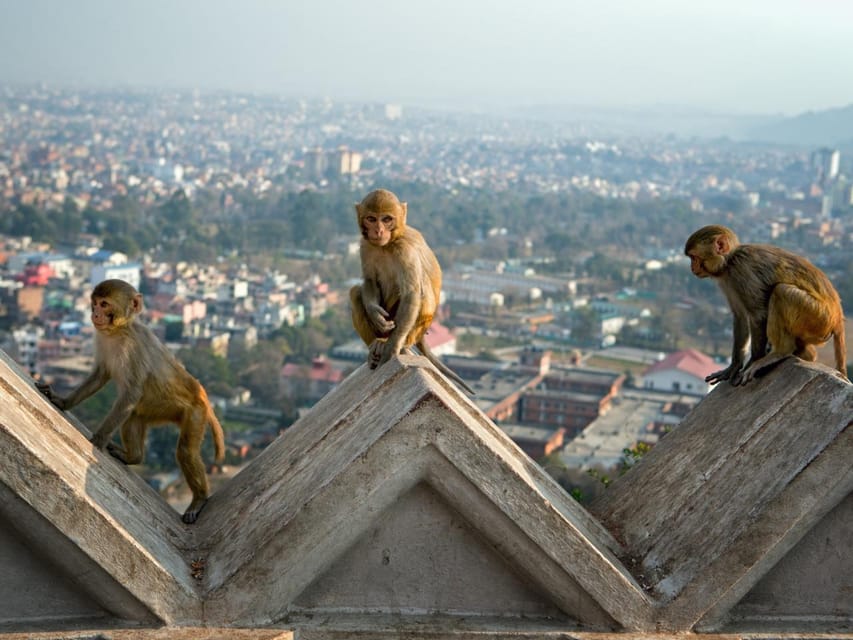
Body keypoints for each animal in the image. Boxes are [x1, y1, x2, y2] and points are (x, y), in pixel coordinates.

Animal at [38, 278, 225, 520]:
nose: (94, 314)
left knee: (185, 449)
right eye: (95, 303)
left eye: (105, 304)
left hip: (195, 412)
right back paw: (133, 457)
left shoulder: (134, 349)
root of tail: (203, 395)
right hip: (159, 410)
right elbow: (100, 376)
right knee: (134, 416)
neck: (119, 331)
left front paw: (98, 440)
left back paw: (199, 499)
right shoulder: (102, 339)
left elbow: (132, 393)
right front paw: (63, 402)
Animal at [350, 188, 476, 396]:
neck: (388, 244)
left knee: (418, 289)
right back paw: (377, 342)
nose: (378, 230)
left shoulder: (405, 250)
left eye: (386, 219)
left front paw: (391, 350)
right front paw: (374, 312)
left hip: (415, 328)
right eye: (371, 218)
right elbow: (369, 281)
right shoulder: (365, 246)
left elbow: (411, 294)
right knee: (354, 292)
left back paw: (395, 345)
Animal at [684, 225, 844, 384]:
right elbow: (740, 316)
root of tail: (837, 317)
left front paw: (753, 361)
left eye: (694, 258)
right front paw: (734, 366)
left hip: (818, 318)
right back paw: (806, 354)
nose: (692, 268)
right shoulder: (727, 280)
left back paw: (780, 351)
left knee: (781, 291)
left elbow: (758, 315)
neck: (729, 261)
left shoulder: (741, 272)